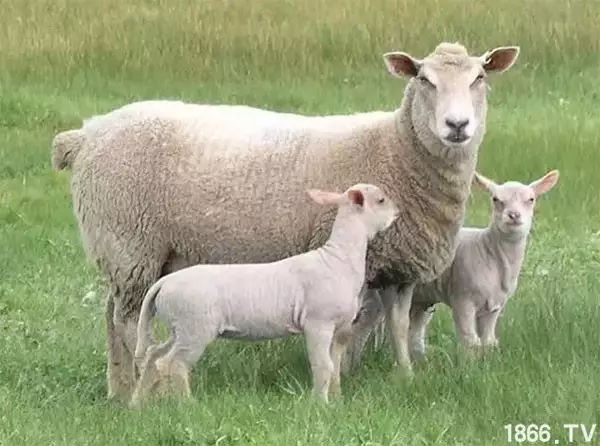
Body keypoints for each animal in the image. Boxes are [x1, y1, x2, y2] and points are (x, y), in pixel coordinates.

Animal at [129, 183, 400, 406]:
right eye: (381, 200)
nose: (398, 213)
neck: (338, 258)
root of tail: (164, 282)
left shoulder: (340, 327)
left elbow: (334, 367)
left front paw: (337, 401)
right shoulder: (318, 324)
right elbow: (323, 366)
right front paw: (320, 404)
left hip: (179, 328)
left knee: (154, 355)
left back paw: (138, 403)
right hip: (194, 327)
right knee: (173, 363)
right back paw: (187, 405)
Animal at [406, 170, 560, 358]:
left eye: (531, 199)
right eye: (495, 199)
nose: (514, 215)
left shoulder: (495, 306)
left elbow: (488, 341)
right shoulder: (463, 299)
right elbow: (470, 341)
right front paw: (469, 364)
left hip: (421, 297)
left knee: (415, 328)